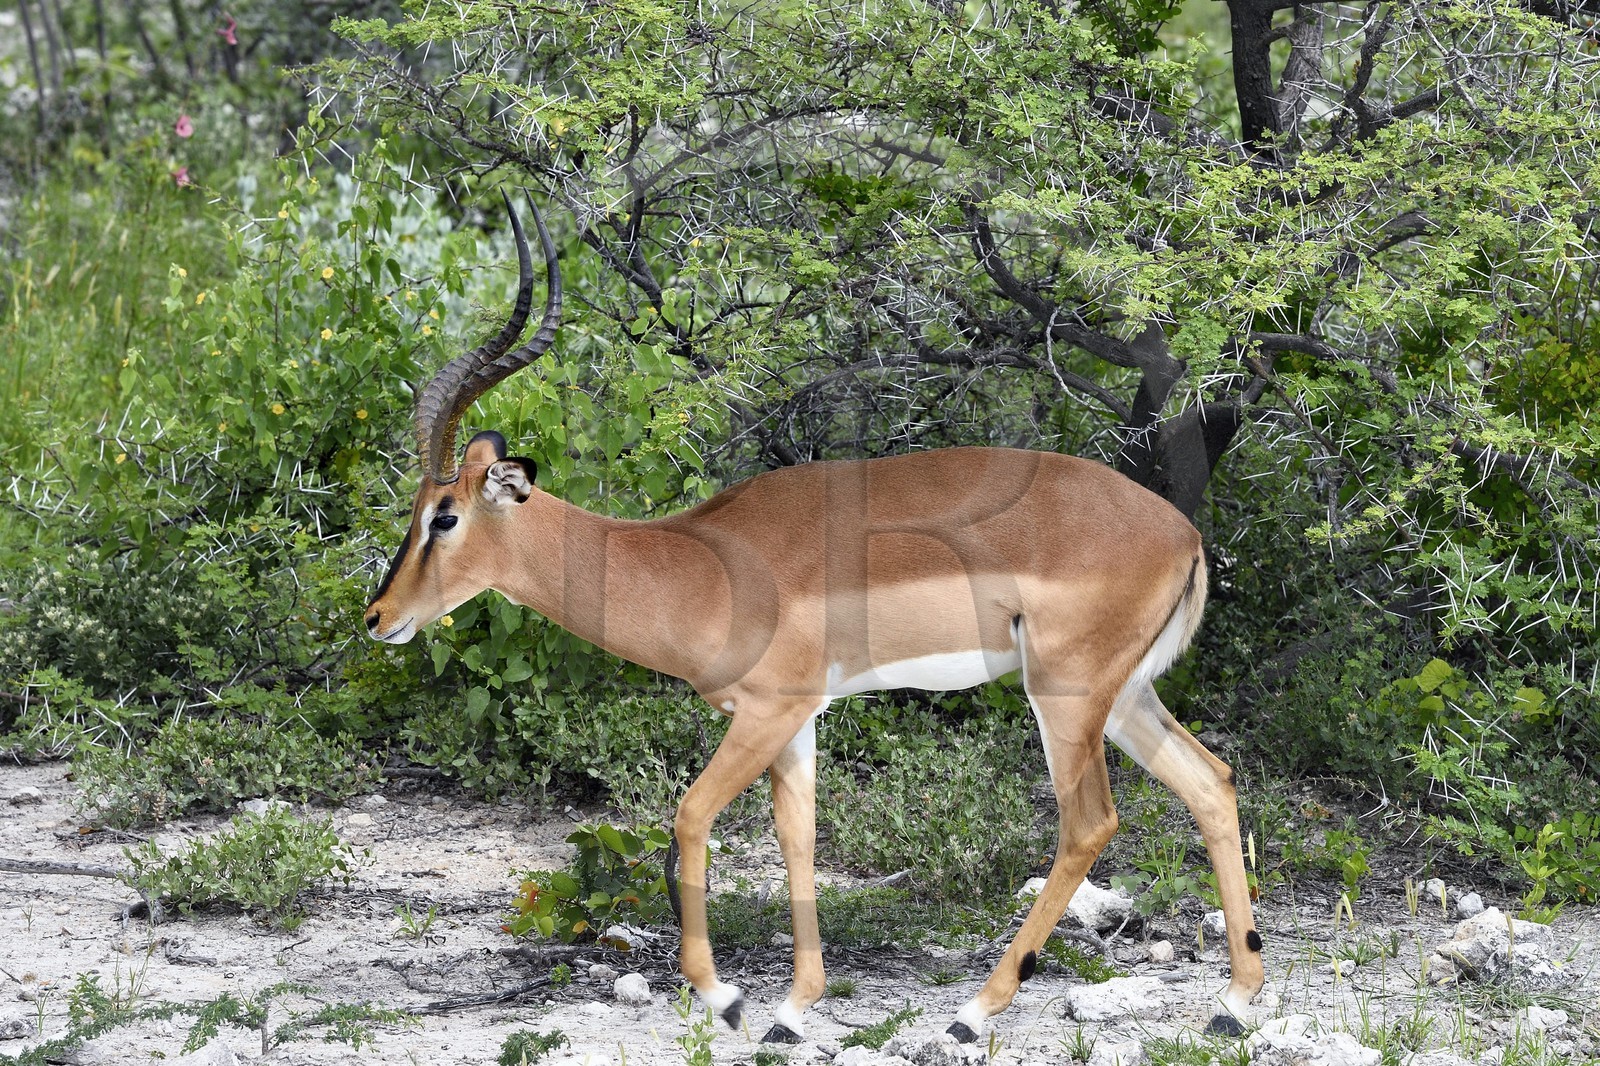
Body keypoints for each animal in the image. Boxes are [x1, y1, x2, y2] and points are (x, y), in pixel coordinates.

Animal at [365, 192, 1265, 1043]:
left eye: (444, 516)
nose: (377, 617)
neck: (695, 561)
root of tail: (1182, 534)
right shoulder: (797, 722)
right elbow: (797, 840)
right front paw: (791, 1012)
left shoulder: (767, 711)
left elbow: (689, 817)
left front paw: (726, 999)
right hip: (1125, 698)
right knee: (1212, 782)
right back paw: (1232, 1005)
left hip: (1066, 697)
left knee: (1089, 823)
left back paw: (972, 1012)